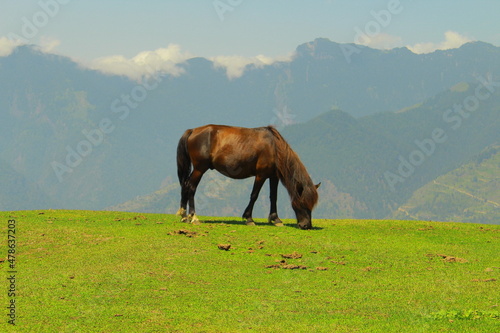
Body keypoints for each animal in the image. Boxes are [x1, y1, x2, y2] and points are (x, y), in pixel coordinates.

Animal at [176, 124, 320, 228]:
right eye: (303, 202)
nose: (306, 225)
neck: (274, 147)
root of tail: (193, 131)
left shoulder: (274, 177)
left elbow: (273, 197)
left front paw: (276, 219)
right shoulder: (261, 175)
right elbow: (254, 195)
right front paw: (249, 218)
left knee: (185, 185)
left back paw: (184, 216)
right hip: (200, 169)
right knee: (191, 187)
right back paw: (194, 217)